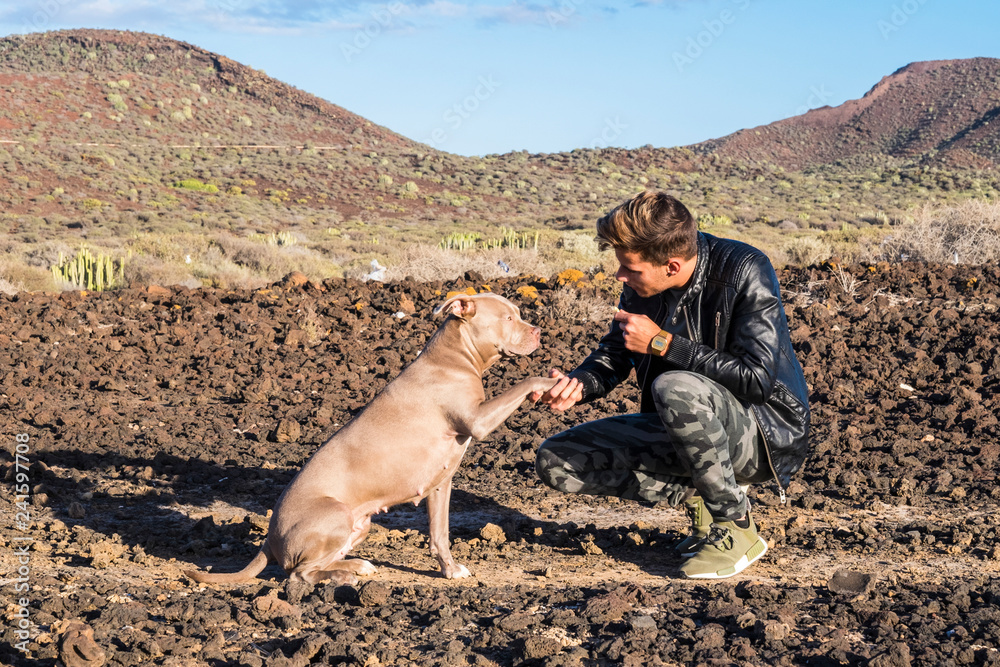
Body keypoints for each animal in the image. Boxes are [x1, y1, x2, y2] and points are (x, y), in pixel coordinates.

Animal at [185, 294, 560, 584]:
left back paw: (355, 565)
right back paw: (343, 574)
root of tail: (269, 538)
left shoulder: (441, 483)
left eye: (519, 313)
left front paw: (450, 570)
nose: (539, 331)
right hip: (335, 515)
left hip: (359, 524)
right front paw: (552, 382)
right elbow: (525, 381)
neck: (454, 356)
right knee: (299, 573)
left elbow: (439, 534)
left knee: (318, 563)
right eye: (508, 317)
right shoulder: (478, 420)